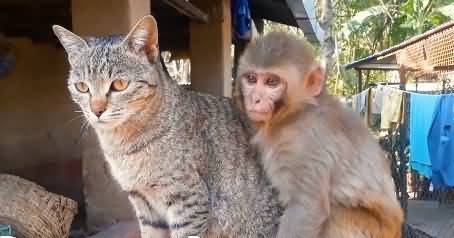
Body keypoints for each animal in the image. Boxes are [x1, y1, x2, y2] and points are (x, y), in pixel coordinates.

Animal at [52, 14, 280, 238]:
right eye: (82, 87)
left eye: (119, 85)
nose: (96, 110)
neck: (123, 142)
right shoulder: (143, 203)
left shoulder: (188, 200)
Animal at [236, 32, 402, 238]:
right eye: (251, 79)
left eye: (271, 82)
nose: (255, 99)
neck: (295, 114)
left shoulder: (310, 141)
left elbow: (307, 207)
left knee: (337, 216)